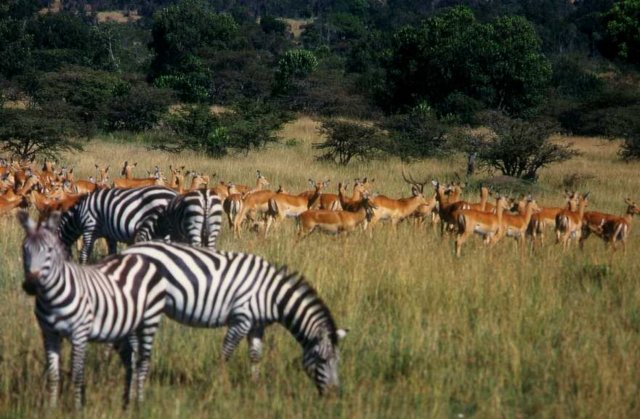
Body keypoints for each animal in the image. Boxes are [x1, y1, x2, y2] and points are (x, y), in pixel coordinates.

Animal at [17, 212, 168, 408]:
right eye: (24, 249)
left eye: (49, 250)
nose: (30, 285)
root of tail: (137, 256)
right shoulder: (49, 334)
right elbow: (53, 374)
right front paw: (52, 408)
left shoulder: (79, 333)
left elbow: (77, 374)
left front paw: (77, 407)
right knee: (131, 361)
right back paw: (127, 402)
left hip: (148, 321)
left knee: (142, 361)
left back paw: (138, 404)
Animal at [121, 241, 350, 396]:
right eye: (322, 360)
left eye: (338, 361)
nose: (334, 395)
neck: (272, 295)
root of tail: (129, 250)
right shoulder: (241, 319)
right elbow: (226, 353)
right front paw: (220, 386)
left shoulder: (257, 325)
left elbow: (256, 355)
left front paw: (256, 387)